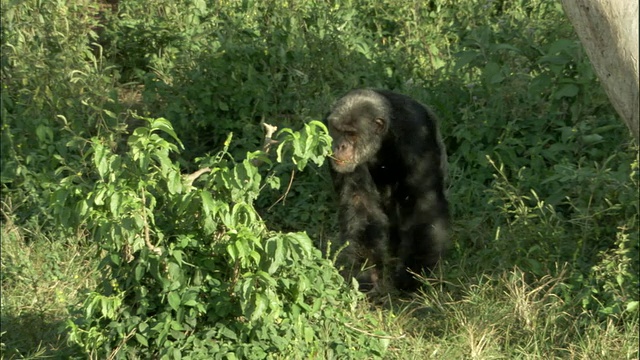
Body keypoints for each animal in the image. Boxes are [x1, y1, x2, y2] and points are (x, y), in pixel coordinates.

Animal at [324, 88, 450, 292]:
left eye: (351, 134)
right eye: (337, 130)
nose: (340, 145)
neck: (383, 138)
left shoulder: (418, 137)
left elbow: (423, 202)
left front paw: (413, 276)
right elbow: (360, 204)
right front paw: (368, 275)